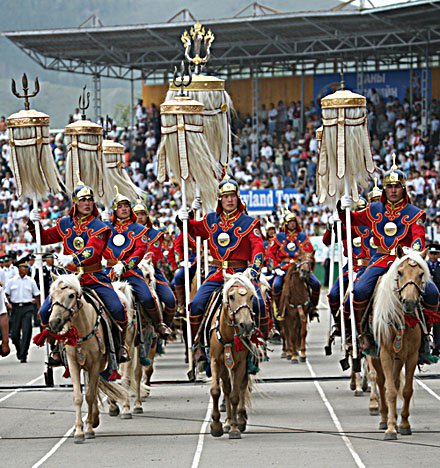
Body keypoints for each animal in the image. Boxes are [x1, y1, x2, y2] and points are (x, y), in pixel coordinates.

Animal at [48, 274, 131, 442]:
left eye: (71, 295)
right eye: (51, 296)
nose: (54, 322)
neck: (81, 328)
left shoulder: (95, 364)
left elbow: (90, 395)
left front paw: (88, 428)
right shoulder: (73, 363)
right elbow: (78, 397)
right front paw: (79, 431)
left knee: (94, 387)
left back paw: (94, 419)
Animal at [210, 272, 262, 440]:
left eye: (251, 296)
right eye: (231, 296)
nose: (247, 325)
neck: (228, 335)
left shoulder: (240, 364)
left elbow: (235, 395)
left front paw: (234, 428)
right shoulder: (215, 361)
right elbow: (216, 390)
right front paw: (216, 425)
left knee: (241, 387)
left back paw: (239, 419)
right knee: (226, 388)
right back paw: (227, 422)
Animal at [372, 247, 430, 440]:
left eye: (421, 274)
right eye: (400, 272)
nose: (410, 303)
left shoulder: (411, 355)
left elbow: (406, 390)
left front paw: (404, 424)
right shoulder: (385, 353)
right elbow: (389, 390)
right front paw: (390, 428)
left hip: (399, 358)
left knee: (396, 381)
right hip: (375, 357)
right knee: (381, 382)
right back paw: (383, 418)